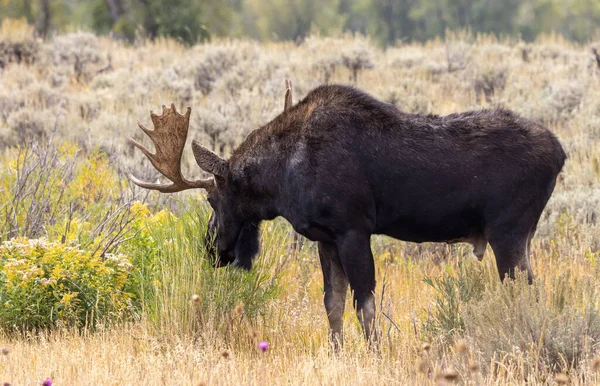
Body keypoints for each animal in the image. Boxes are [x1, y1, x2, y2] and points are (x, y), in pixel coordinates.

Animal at [127, 81, 568, 346]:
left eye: (212, 201)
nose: (212, 250)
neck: (282, 177)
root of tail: (562, 153)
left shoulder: (354, 229)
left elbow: (365, 304)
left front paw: (375, 353)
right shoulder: (326, 237)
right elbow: (333, 304)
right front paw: (336, 351)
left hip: (508, 232)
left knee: (528, 293)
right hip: (518, 236)